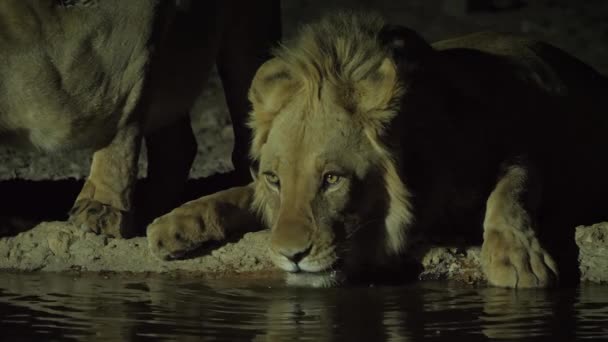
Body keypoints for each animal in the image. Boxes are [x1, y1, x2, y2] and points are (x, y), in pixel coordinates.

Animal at [0, 0, 280, 236]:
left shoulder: (129, 49)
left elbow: (119, 126)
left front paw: (101, 211)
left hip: (246, 31)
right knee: (178, 145)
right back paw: (154, 205)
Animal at [146, 12, 608, 288]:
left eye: (332, 179)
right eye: (275, 180)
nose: (291, 256)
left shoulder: (514, 150)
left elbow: (512, 187)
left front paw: (516, 258)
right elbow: (239, 192)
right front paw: (177, 222)